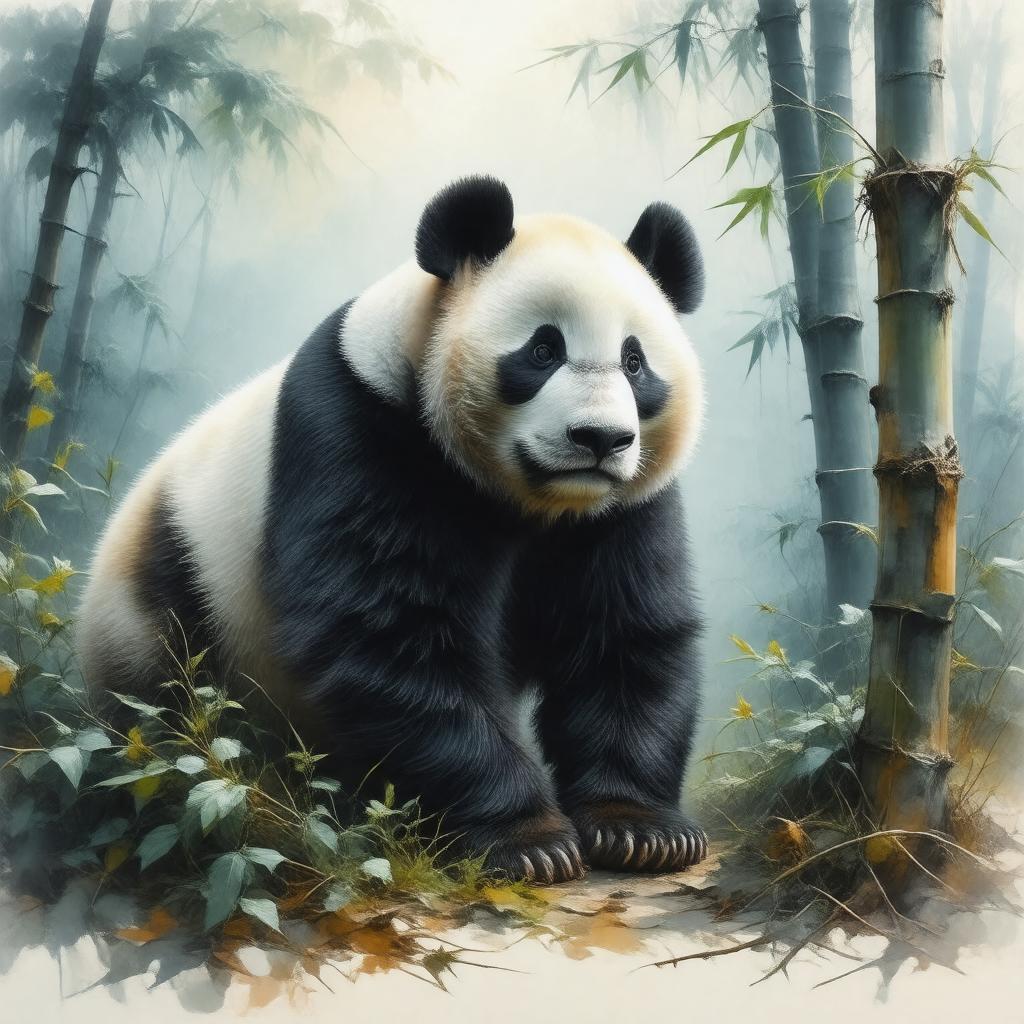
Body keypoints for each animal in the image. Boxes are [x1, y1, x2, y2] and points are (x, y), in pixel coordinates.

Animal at [78, 176, 708, 884]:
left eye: (635, 362)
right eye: (544, 350)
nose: (599, 439)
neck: (533, 501)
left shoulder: (621, 507)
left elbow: (622, 635)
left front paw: (640, 831)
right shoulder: (361, 430)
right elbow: (393, 635)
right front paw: (529, 841)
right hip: (169, 613)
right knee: (168, 714)